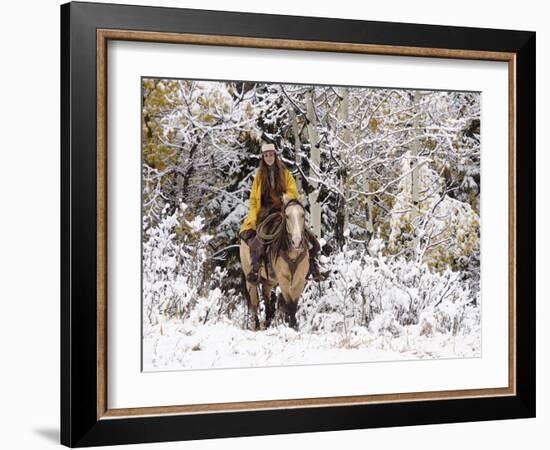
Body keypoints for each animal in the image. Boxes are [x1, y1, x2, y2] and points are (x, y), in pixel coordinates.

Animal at [240, 193, 312, 330]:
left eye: (302, 215)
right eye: (287, 216)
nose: (297, 242)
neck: (292, 253)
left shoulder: (299, 279)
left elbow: (293, 304)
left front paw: (293, 325)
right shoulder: (283, 279)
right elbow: (289, 303)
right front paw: (292, 325)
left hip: (271, 280)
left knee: (266, 294)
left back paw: (268, 319)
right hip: (250, 279)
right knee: (254, 304)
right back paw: (256, 325)